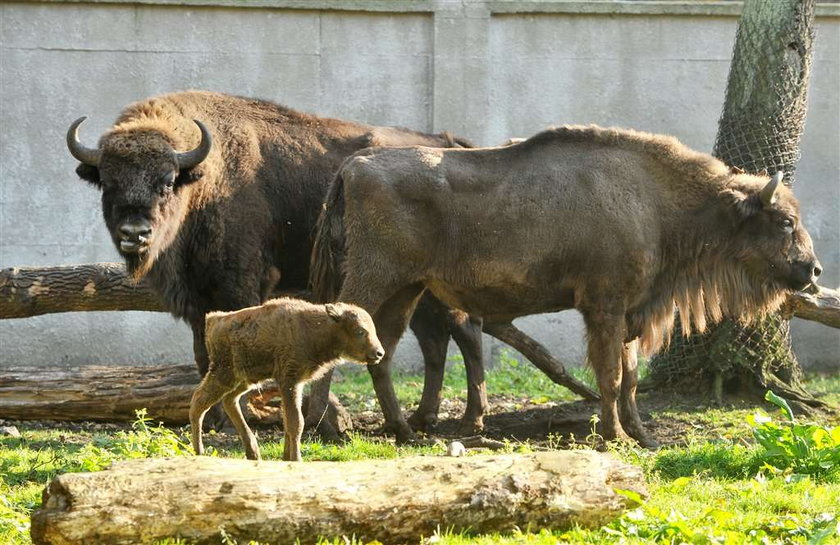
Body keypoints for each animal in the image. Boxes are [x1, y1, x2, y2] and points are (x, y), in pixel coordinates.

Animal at [67, 91, 492, 436]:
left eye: (167, 181)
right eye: (108, 182)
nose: (135, 233)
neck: (204, 181)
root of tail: (446, 141)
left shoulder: (239, 286)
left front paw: (231, 418)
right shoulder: (198, 300)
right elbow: (204, 355)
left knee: (465, 331)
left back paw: (468, 421)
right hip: (416, 287)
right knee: (436, 340)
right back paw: (423, 418)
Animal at [190, 298, 384, 460]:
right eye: (360, 331)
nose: (379, 353)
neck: (318, 328)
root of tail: (214, 319)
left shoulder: (296, 383)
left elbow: (289, 421)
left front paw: (286, 458)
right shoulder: (290, 381)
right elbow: (296, 422)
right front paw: (296, 459)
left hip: (246, 379)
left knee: (229, 400)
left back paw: (253, 453)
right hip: (224, 375)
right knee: (199, 402)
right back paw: (199, 452)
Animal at [312, 123, 824, 446]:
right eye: (784, 220)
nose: (814, 271)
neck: (655, 200)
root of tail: (354, 166)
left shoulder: (628, 311)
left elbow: (630, 377)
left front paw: (644, 437)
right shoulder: (605, 306)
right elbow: (611, 375)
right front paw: (614, 437)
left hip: (407, 290)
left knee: (384, 353)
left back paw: (404, 431)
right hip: (376, 279)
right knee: (344, 331)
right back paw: (326, 426)